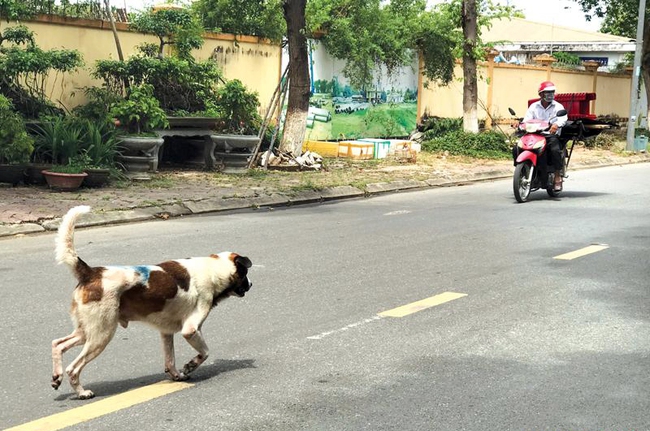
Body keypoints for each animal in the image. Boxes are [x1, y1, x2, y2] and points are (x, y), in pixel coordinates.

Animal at [50, 207, 252, 402]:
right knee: (73, 368)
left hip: (87, 331)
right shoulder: (191, 329)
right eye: (245, 274)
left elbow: (170, 360)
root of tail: (91, 272)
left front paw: (177, 376)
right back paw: (81, 392)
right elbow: (205, 352)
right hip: (101, 334)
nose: (251, 285)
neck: (214, 270)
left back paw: (57, 376)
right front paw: (190, 366)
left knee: (57, 343)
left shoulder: (166, 332)